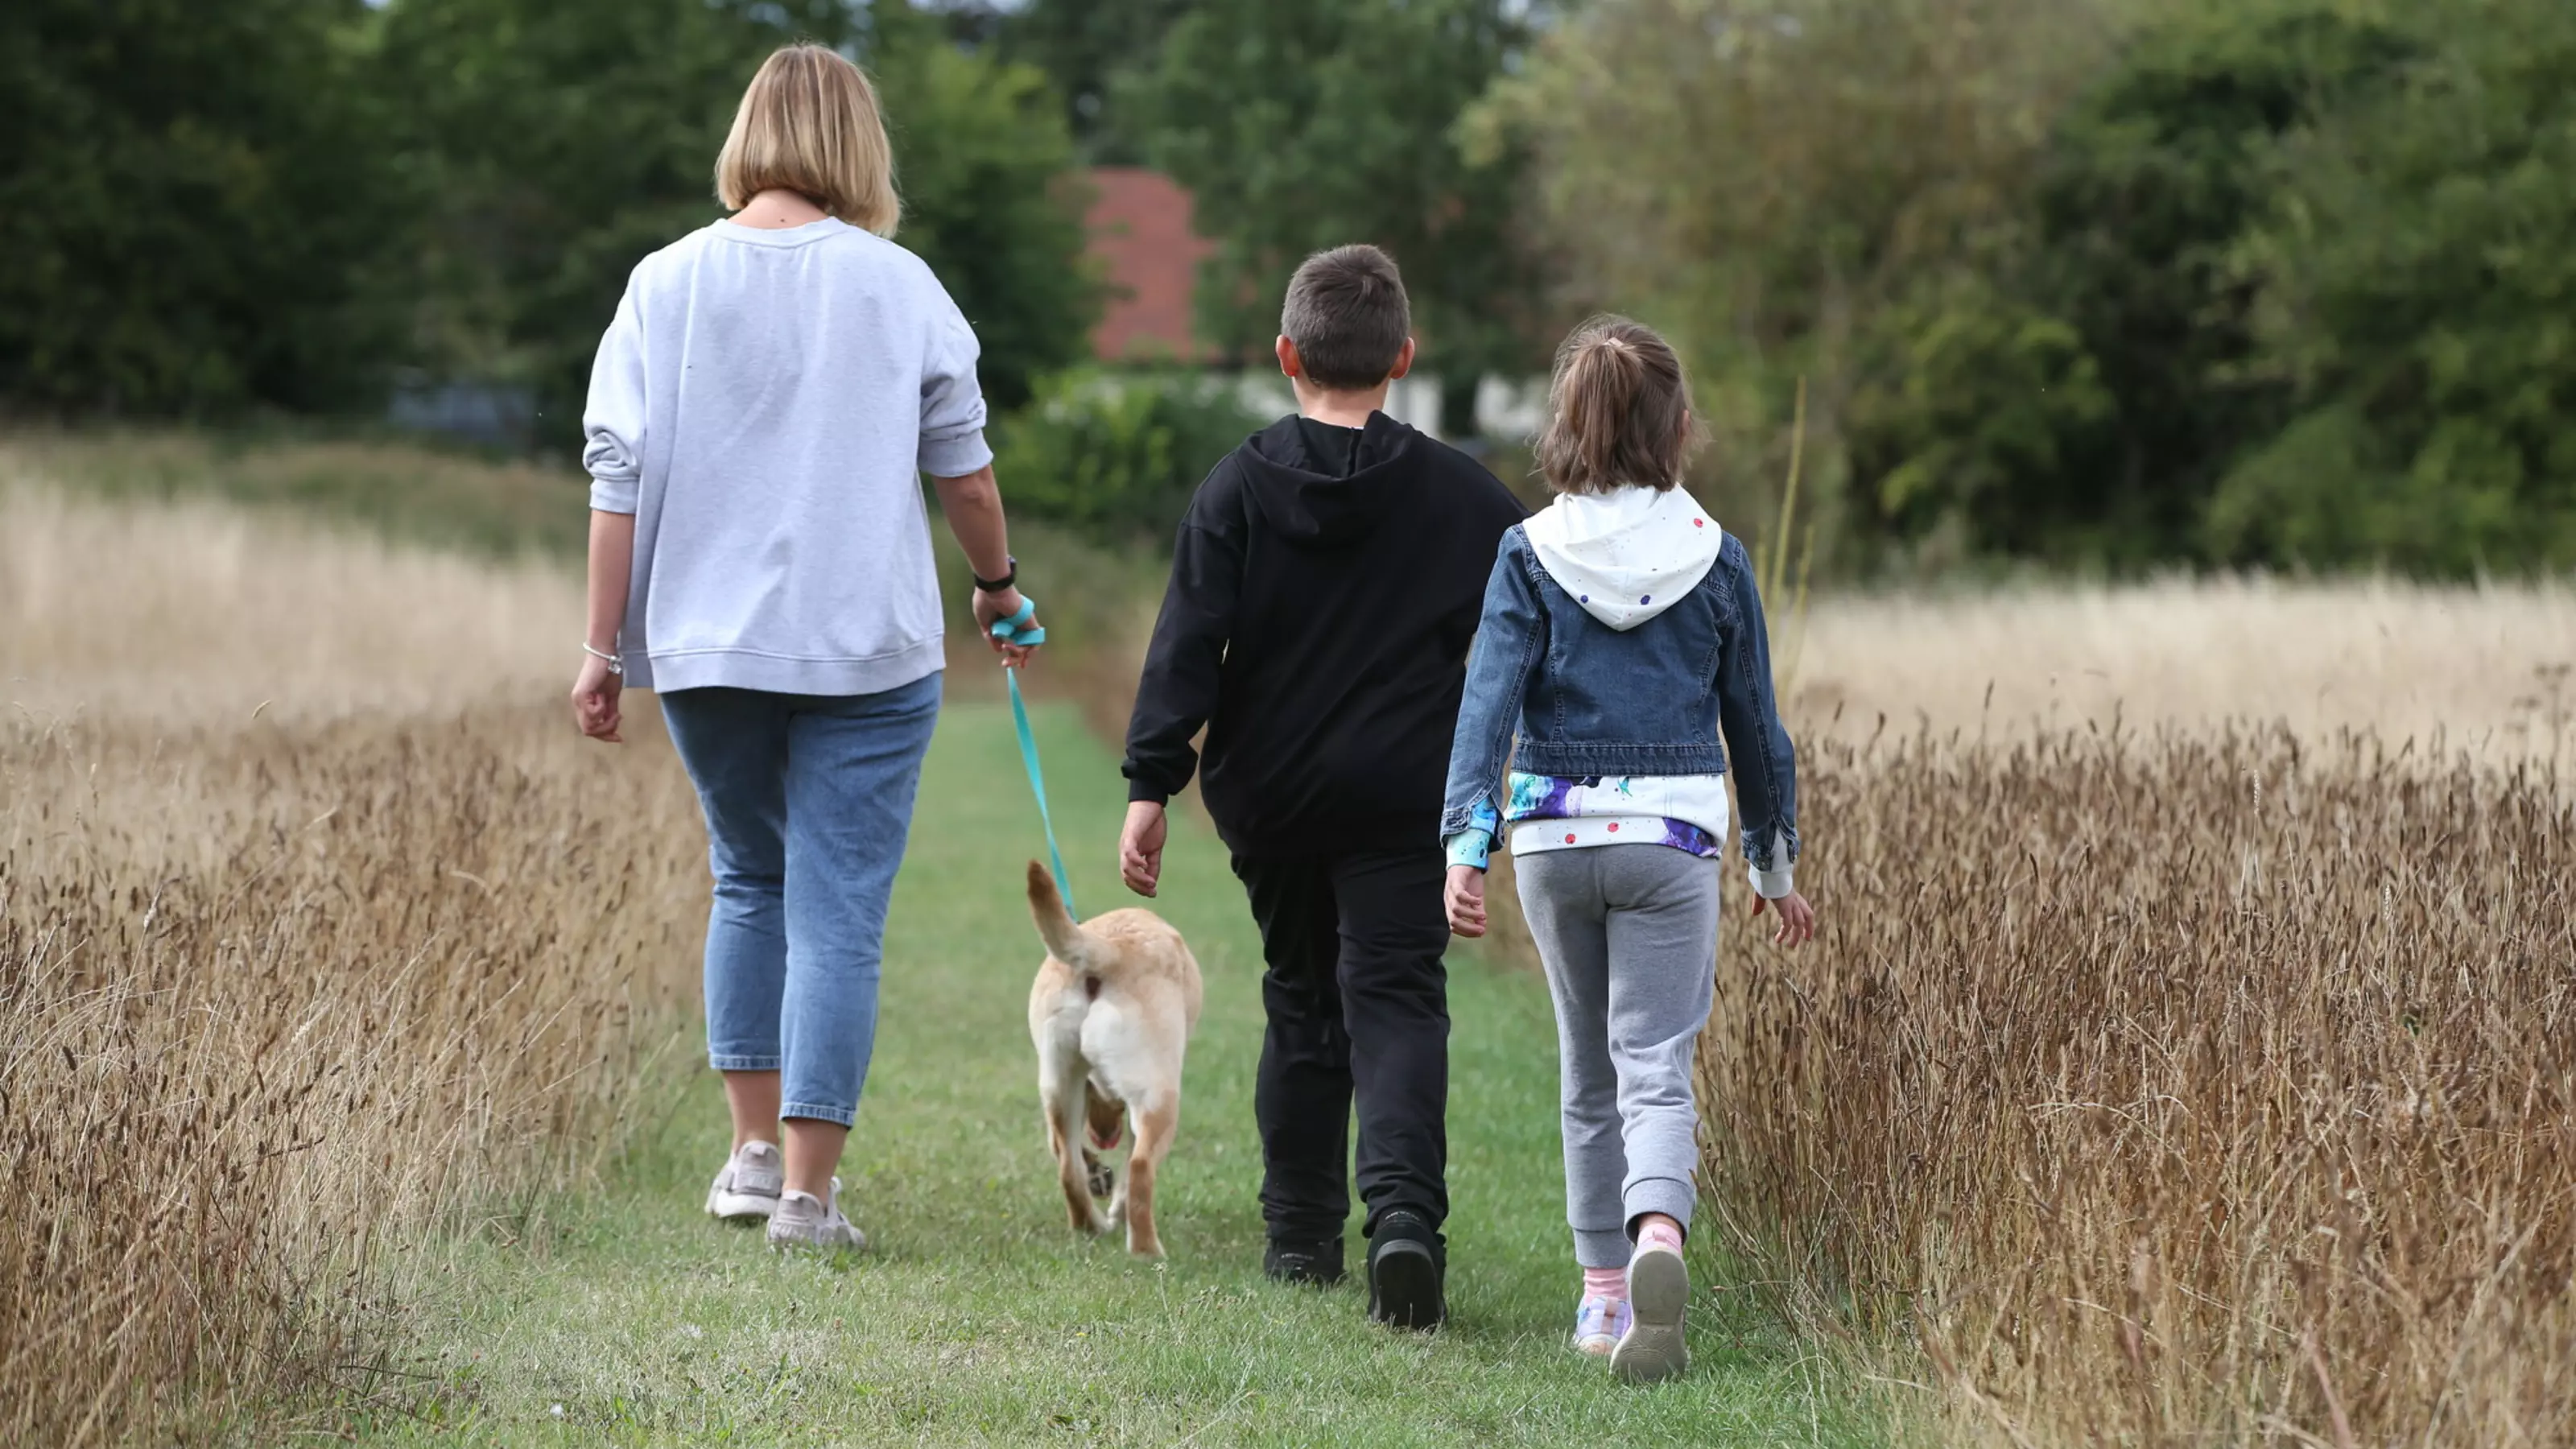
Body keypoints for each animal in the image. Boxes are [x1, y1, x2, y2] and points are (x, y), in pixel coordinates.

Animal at [1020, 856, 1200, 1253]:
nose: (1105, 1136)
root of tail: (1108, 950)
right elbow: (1131, 1170)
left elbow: (1059, 1149)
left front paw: (1098, 1175)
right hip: (1158, 1096)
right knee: (1141, 1169)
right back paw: (1147, 1251)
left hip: (1059, 1085)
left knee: (1068, 1169)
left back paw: (1092, 1225)